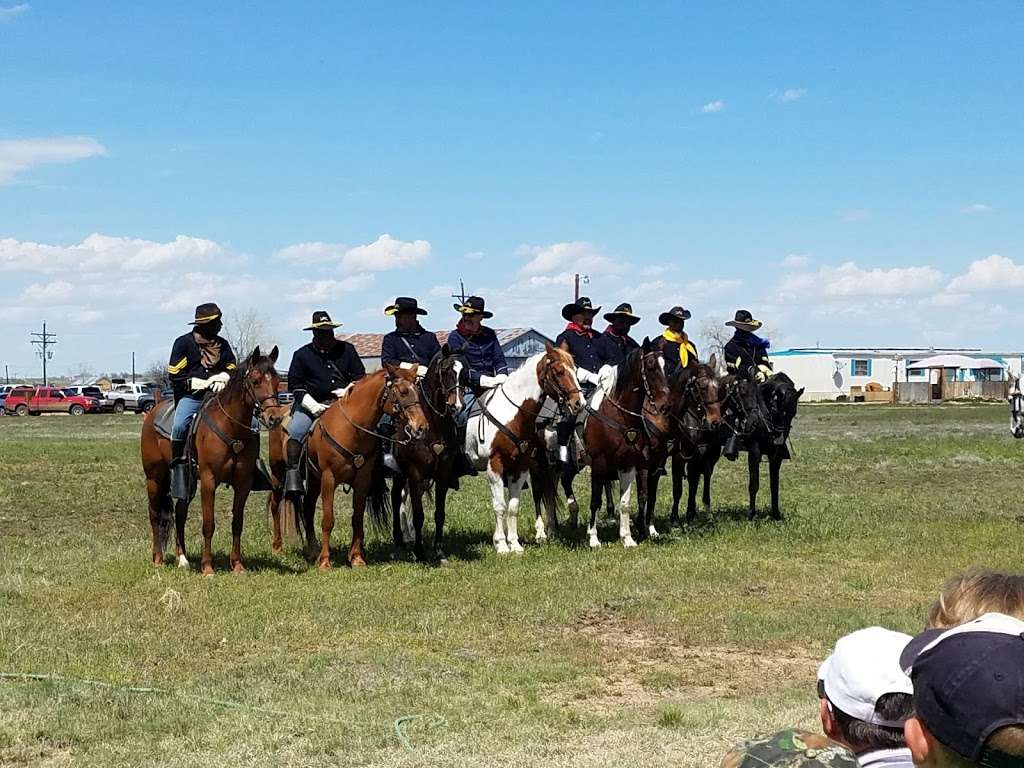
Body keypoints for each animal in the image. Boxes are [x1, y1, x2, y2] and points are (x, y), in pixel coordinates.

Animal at [140, 346, 282, 573]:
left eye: (277, 381)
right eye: (256, 380)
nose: (274, 418)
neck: (231, 428)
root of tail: (152, 412)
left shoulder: (243, 483)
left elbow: (237, 522)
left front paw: (237, 565)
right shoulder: (209, 480)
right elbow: (208, 524)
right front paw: (207, 567)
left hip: (185, 482)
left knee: (179, 513)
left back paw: (182, 559)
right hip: (154, 478)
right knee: (155, 515)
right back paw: (158, 559)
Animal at [296, 364, 428, 569]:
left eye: (418, 392)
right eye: (403, 392)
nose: (421, 427)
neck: (352, 429)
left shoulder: (362, 479)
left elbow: (357, 518)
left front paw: (357, 558)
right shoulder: (328, 478)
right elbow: (328, 520)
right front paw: (325, 561)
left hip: (315, 481)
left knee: (308, 508)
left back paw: (313, 551)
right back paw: (310, 552)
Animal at [391, 346, 468, 561]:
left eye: (465, 372)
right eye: (446, 371)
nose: (457, 406)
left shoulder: (443, 474)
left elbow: (439, 513)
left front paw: (439, 551)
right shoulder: (415, 474)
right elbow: (418, 515)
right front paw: (419, 552)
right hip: (399, 474)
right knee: (395, 498)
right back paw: (400, 538)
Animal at [466, 346, 585, 557]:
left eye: (575, 371)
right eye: (559, 372)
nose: (579, 403)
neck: (511, 415)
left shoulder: (520, 467)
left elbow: (513, 506)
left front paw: (514, 544)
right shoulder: (495, 465)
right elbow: (500, 506)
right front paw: (501, 545)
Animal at [561, 342, 671, 548]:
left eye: (666, 366)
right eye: (651, 366)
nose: (665, 406)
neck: (620, 416)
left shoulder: (629, 465)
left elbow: (626, 502)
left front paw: (627, 538)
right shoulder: (599, 464)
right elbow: (595, 501)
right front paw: (594, 539)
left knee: (565, 480)